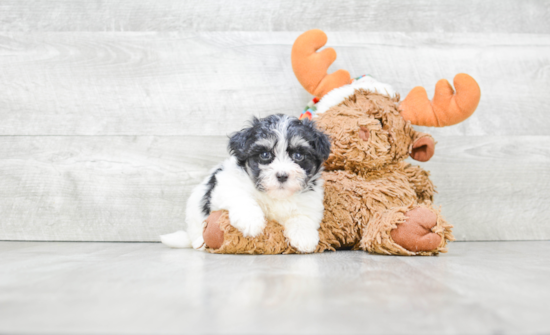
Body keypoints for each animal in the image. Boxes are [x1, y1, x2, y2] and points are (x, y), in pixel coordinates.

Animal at [160, 114, 332, 253]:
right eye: (265, 155)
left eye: (298, 156)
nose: (282, 176)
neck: (275, 196)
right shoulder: (228, 183)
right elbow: (241, 197)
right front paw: (251, 221)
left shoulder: (309, 201)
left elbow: (302, 217)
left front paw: (304, 237)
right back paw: (199, 242)